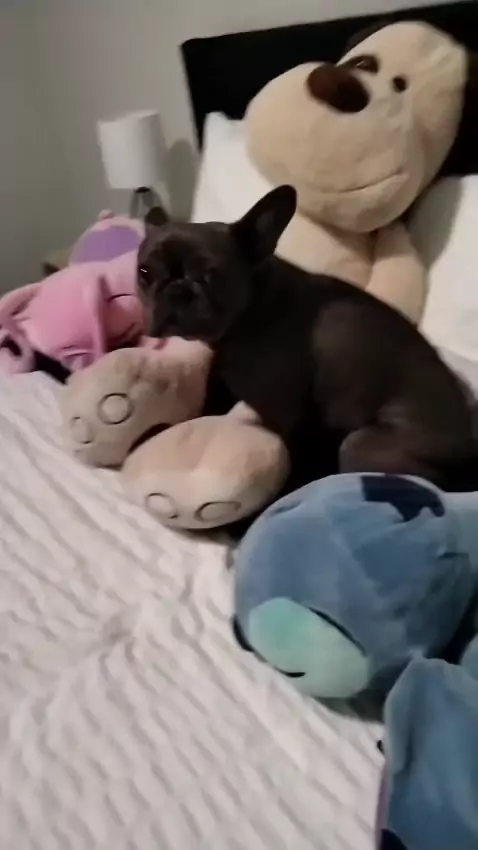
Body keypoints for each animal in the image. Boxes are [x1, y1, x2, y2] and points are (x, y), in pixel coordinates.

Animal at [137, 186, 478, 491]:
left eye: (211, 275)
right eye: (143, 272)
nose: (176, 290)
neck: (252, 307)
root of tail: (468, 446)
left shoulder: (286, 415)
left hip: (361, 446)